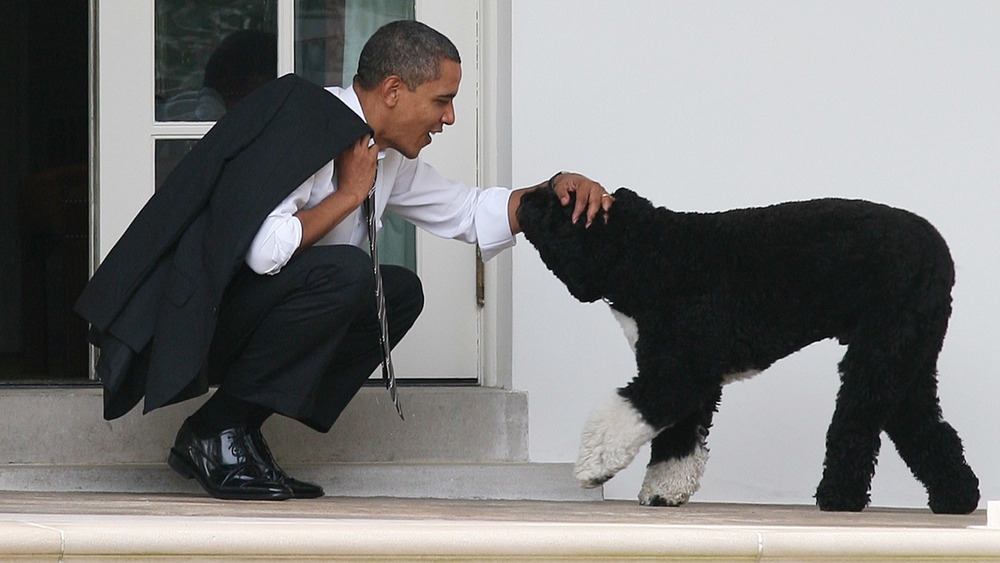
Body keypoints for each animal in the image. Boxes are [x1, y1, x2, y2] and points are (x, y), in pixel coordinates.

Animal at [516, 187, 976, 512]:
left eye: (560, 203)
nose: (521, 197)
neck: (650, 252)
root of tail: (939, 250)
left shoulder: (681, 370)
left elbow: (626, 412)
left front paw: (594, 467)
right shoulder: (685, 375)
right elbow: (677, 440)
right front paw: (664, 492)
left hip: (879, 355)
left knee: (856, 427)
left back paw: (838, 497)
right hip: (907, 358)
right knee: (925, 427)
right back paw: (957, 497)